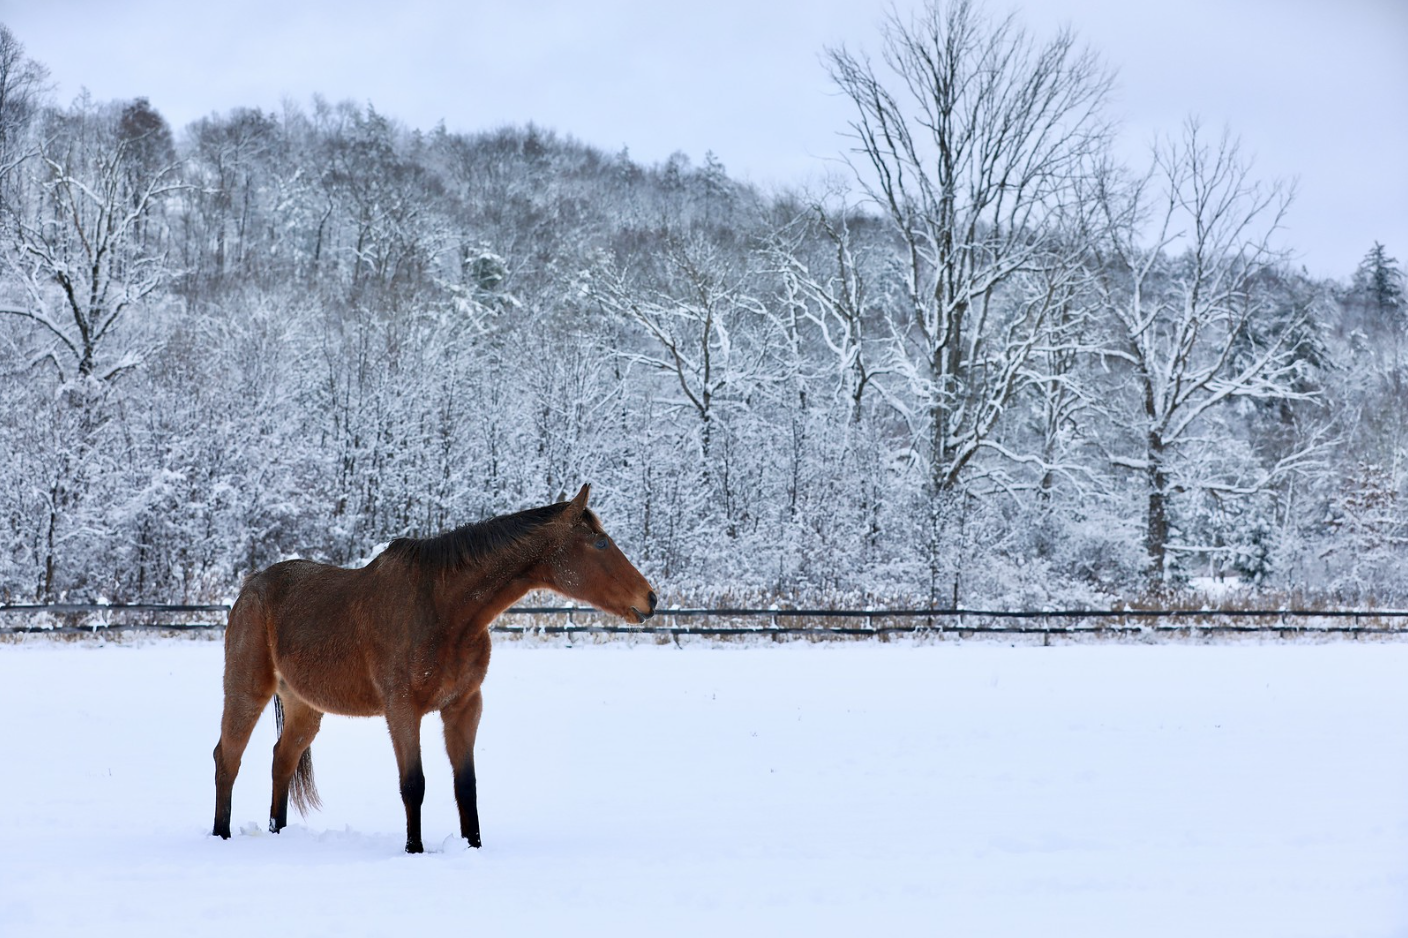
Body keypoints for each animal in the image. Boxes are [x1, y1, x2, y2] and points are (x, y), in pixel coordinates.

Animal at [208, 484, 653, 850]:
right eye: (600, 542)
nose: (649, 598)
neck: (444, 609)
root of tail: (251, 585)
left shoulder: (464, 707)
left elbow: (466, 786)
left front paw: (473, 847)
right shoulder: (403, 710)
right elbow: (413, 785)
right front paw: (414, 850)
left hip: (305, 708)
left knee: (281, 761)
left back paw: (277, 833)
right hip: (247, 692)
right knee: (227, 758)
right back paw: (221, 836)